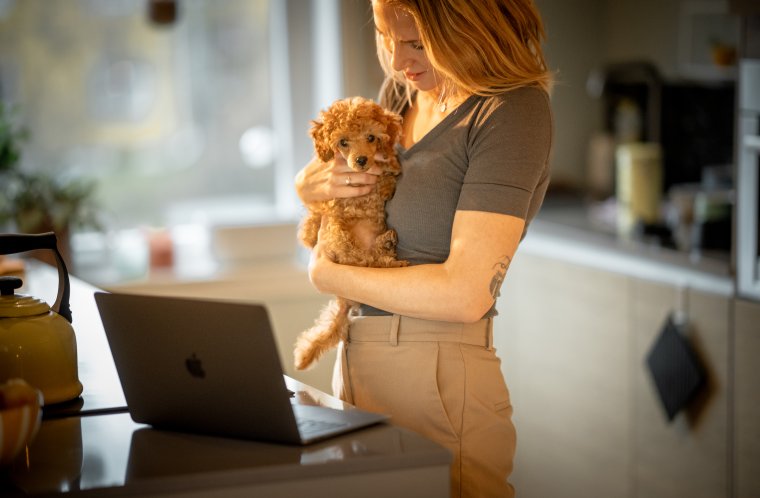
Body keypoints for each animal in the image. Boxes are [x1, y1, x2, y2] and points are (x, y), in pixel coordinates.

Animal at [294, 96, 406, 370]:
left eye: (371, 137)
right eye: (343, 142)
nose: (361, 160)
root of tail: (345, 300)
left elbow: (389, 168)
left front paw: (387, 172)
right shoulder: (330, 206)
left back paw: (386, 245)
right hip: (338, 234)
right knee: (362, 261)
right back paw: (389, 254)